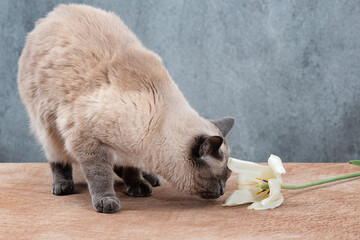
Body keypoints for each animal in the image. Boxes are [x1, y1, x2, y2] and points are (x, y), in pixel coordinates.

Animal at [18, 4, 235, 214]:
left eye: (228, 177)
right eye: (220, 179)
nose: (222, 191)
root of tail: (53, 13)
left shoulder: (131, 146)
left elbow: (131, 169)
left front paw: (138, 185)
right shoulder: (89, 141)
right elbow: (100, 176)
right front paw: (107, 201)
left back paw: (150, 178)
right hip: (48, 127)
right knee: (58, 159)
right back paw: (63, 186)